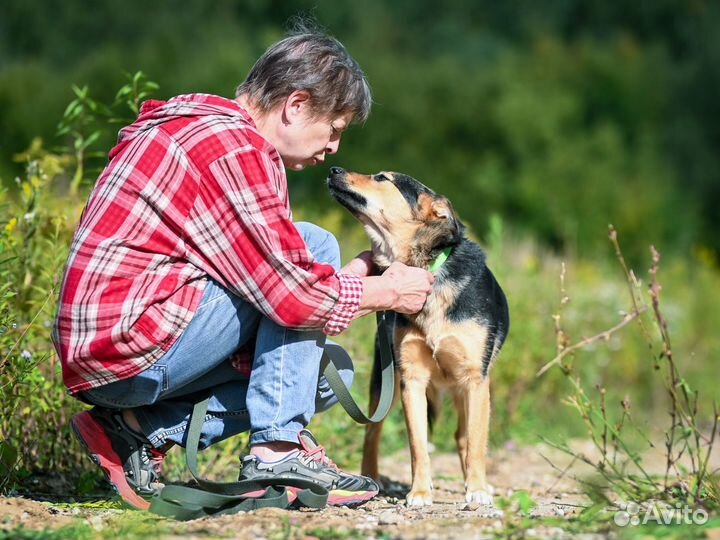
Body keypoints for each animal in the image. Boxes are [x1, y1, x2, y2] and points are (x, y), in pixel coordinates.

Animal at [330, 167, 510, 508]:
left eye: (382, 178)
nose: (334, 169)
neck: (426, 269)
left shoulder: (474, 380)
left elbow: (476, 443)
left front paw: (477, 489)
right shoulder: (411, 380)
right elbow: (418, 445)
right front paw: (420, 492)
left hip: (469, 390)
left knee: (463, 436)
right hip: (382, 385)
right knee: (372, 433)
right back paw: (370, 478)